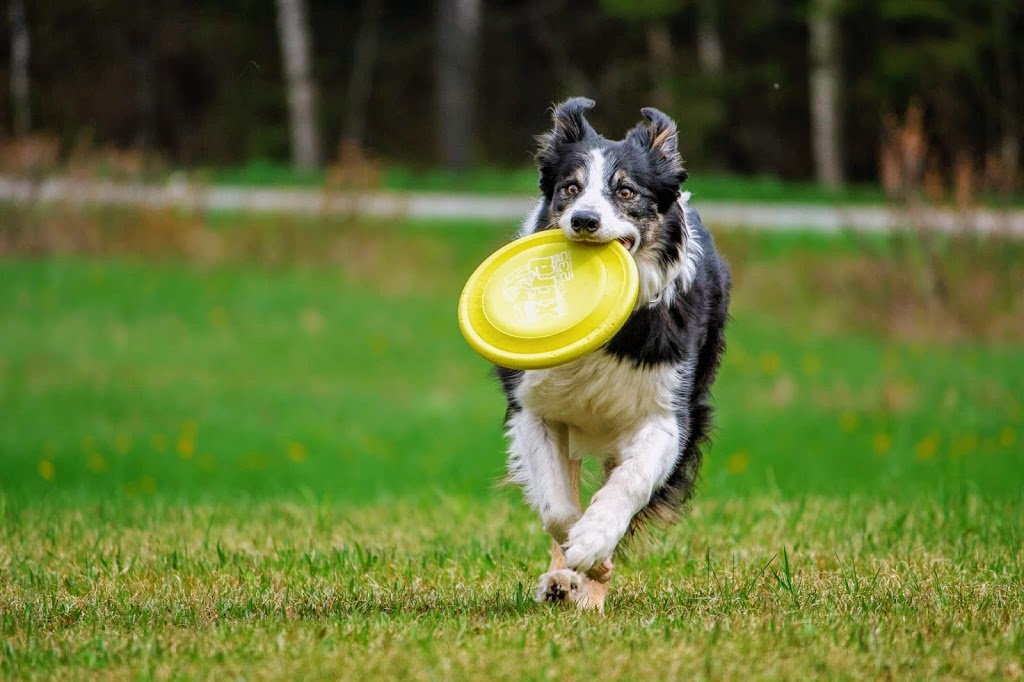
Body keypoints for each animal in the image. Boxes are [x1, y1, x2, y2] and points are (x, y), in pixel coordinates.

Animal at [493, 96, 729, 610]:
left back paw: (591, 594)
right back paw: (564, 581)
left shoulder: (668, 415)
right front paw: (579, 559)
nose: (584, 220)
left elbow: (630, 483)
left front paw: (596, 548)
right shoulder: (534, 407)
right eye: (570, 188)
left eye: (625, 191)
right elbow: (558, 507)